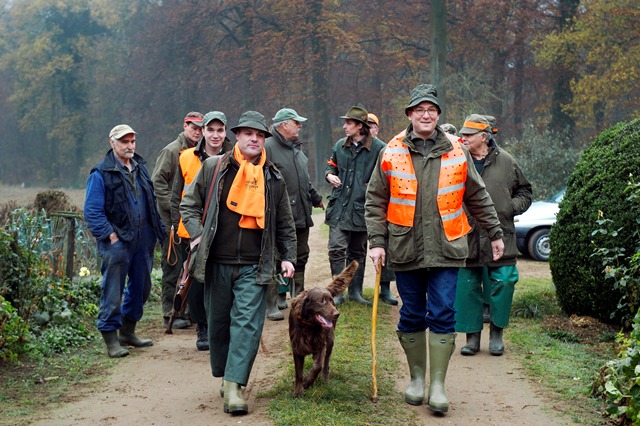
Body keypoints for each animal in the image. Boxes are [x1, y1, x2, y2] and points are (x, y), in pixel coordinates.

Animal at [290, 260, 360, 396]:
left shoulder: (320, 345)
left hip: (330, 340)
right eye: (321, 301)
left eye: (331, 300)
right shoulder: (297, 348)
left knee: (326, 362)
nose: (337, 314)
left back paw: (325, 378)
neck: (309, 326)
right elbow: (298, 372)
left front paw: (307, 382)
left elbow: (318, 366)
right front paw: (298, 391)